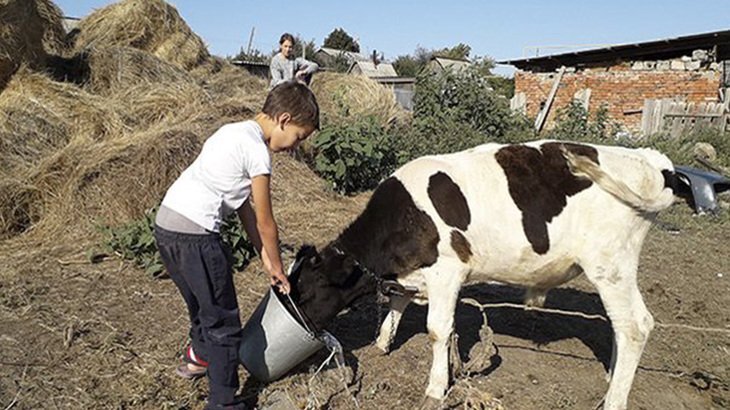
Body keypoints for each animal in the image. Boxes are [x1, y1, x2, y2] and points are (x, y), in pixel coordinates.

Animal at [282, 140, 684, 410]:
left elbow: (438, 330)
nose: (301, 326)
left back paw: (615, 399)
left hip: (610, 264)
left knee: (635, 325)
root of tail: (652, 161)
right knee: (621, 324)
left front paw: (435, 388)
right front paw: (383, 341)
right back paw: (613, 376)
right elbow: (398, 300)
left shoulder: (448, 270)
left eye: (306, 290)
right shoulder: (417, 270)